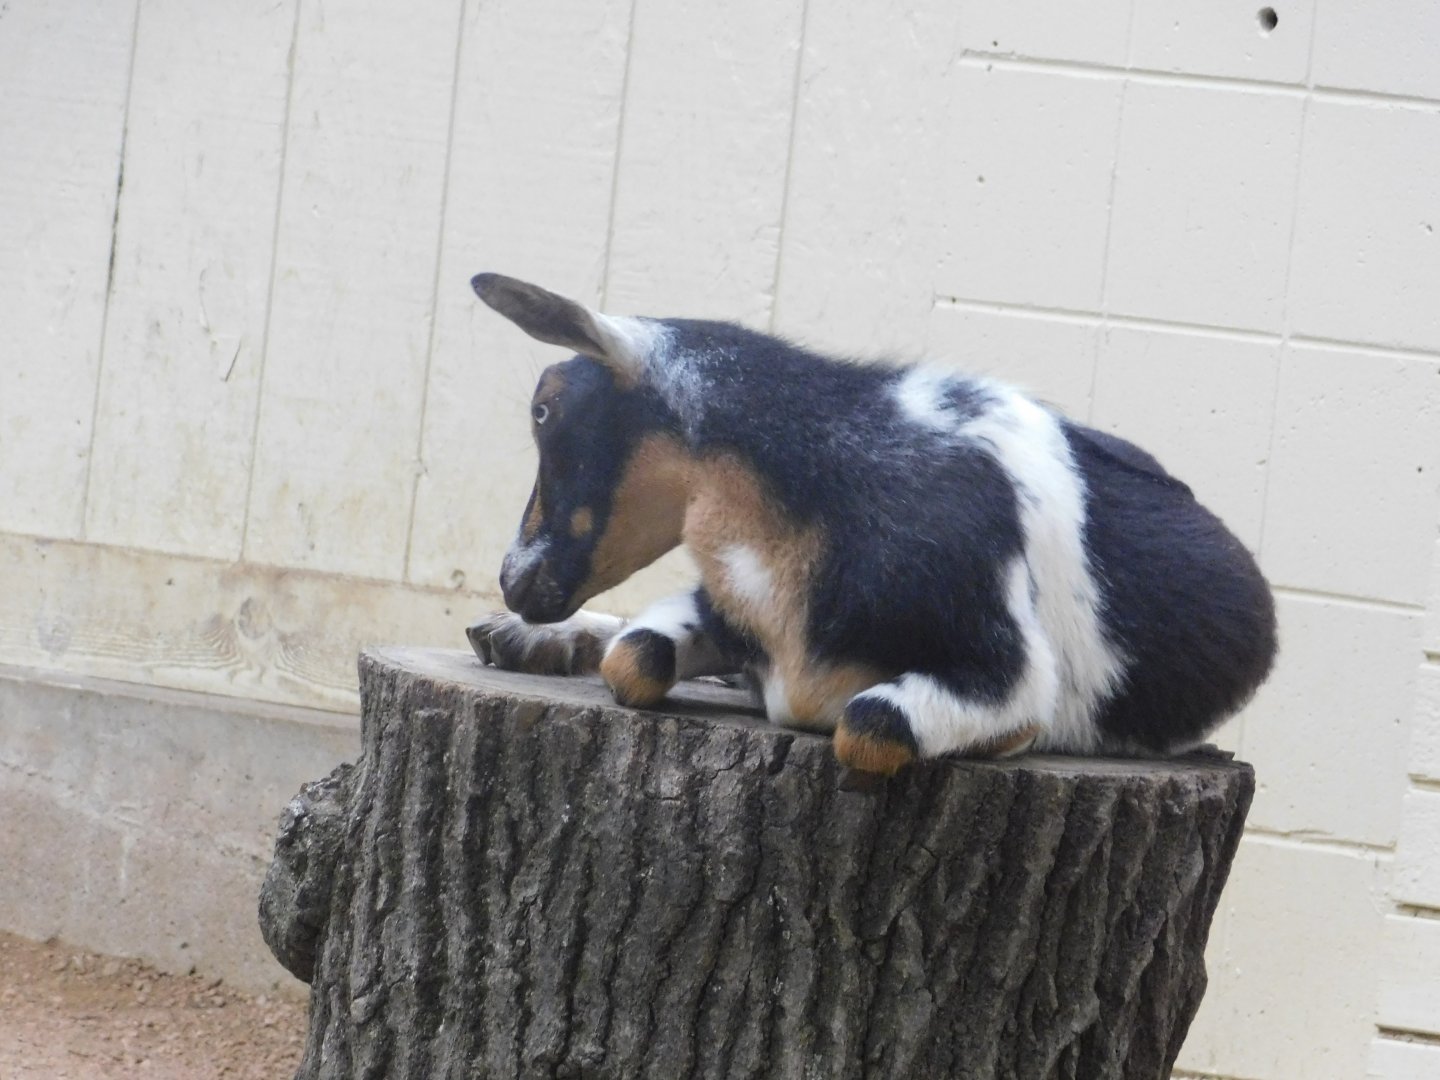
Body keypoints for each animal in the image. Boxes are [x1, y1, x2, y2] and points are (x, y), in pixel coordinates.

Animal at [465, 273, 1277, 777]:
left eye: (544, 408)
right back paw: (518, 640)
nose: (513, 581)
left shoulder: (1013, 678)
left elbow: (868, 727)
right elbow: (634, 659)